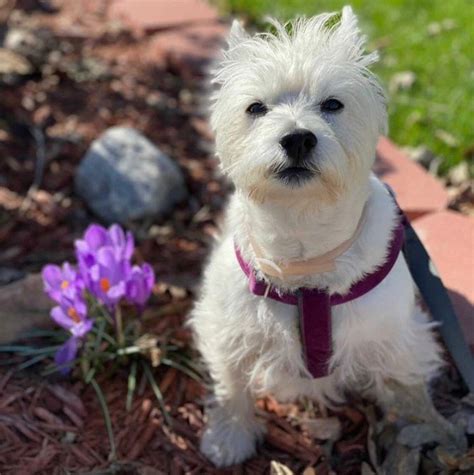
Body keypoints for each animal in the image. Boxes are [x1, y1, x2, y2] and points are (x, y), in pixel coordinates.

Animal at [188, 6, 440, 468]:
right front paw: (229, 438)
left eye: (333, 104)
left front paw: (427, 428)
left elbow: (405, 387)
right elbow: (232, 384)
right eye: (256, 107)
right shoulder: (229, 328)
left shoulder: (395, 336)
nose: (298, 138)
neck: (303, 252)